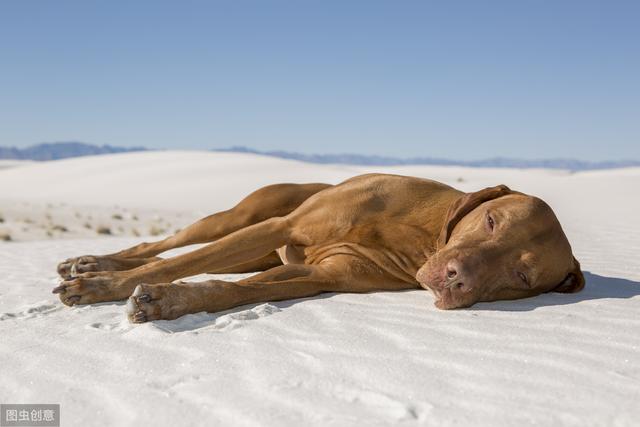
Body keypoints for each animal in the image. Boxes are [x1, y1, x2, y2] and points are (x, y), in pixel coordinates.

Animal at [55, 172, 584, 322]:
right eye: (492, 221)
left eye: (521, 277)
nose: (457, 279)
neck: (422, 236)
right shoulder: (282, 226)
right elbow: (185, 262)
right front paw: (102, 286)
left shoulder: (320, 277)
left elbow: (234, 290)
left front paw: (166, 302)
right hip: (243, 219)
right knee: (168, 244)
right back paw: (91, 263)